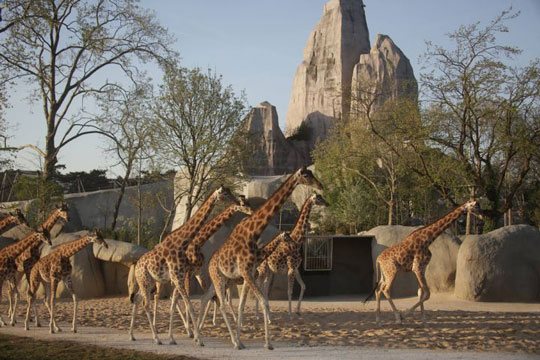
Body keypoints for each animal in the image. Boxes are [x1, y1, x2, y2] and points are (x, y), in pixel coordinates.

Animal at [127, 186, 237, 346]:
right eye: (225, 193)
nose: (238, 200)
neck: (193, 243)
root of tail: (137, 264)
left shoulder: (195, 272)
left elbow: (204, 297)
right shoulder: (183, 275)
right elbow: (189, 303)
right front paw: (196, 337)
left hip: (148, 281)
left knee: (138, 299)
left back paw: (132, 335)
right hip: (150, 281)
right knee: (148, 301)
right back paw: (156, 337)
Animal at [199, 167, 322, 350]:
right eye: (306, 176)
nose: (320, 185)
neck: (253, 234)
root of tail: (210, 264)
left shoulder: (249, 274)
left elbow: (244, 306)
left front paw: (243, 340)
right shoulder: (249, 273)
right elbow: (265, 301)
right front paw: (268, 343)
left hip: (226, 280)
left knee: (210, 299)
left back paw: (202, 334)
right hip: (220, 278)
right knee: (219, 303)